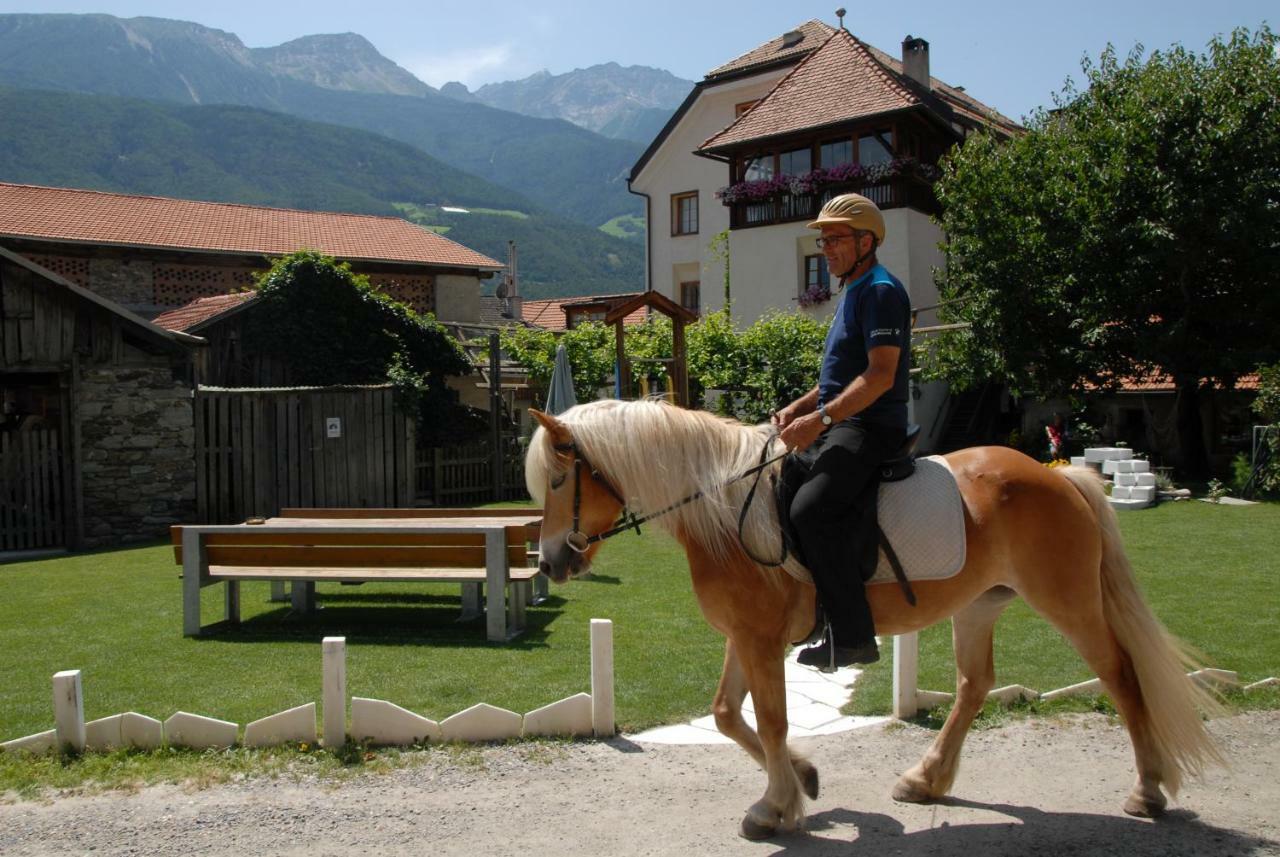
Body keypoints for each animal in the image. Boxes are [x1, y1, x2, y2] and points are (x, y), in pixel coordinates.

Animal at [524, 401, 1223, 839]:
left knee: (1121, 674)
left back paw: (1147, 791)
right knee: (974, 685)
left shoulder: (760, 640)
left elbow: (770, 720)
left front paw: (776, 806)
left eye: (559, 479)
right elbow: (727, 715)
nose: (551, 561)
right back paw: (926, 779)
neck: (725, 508)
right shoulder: (745, 636)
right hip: (980, 606)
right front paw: (802, 778)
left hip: (1069, 603)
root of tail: (1057, 475)